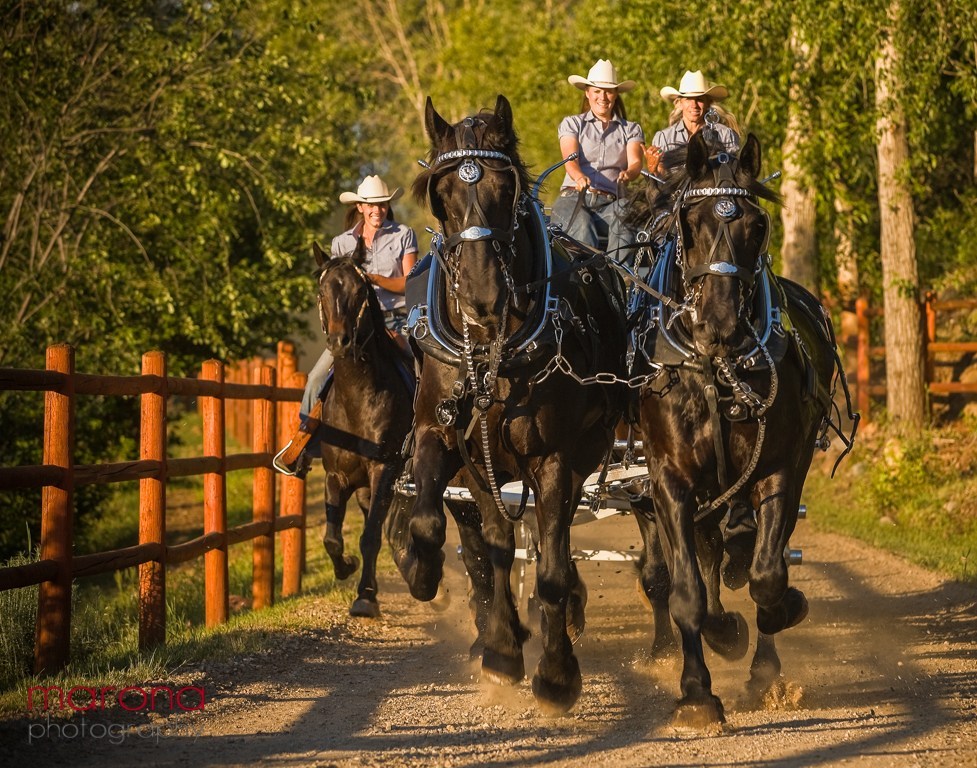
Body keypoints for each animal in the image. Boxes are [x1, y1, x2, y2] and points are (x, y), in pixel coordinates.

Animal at [310, 246, 414, 616]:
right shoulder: (335, 476)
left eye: (359, 291)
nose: (340, 342)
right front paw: (348, 568)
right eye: (323, 291)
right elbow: (332, 538)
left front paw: (366, 597)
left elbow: (369, 537)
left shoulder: (383, 471)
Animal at [392, 94, 628, 712]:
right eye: (442, 194)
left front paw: (556, 675)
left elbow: (549, 568)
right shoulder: (455, 442)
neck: (491, 351)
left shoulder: (553, 460)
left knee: (555, 541)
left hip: (582, 458)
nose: (482, 299)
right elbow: (458, 532)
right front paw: (494, 643)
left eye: (507, 189)